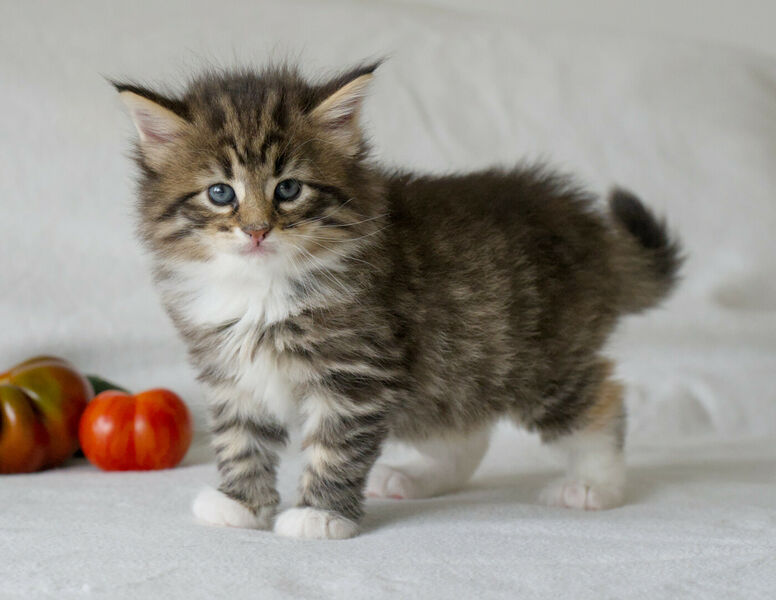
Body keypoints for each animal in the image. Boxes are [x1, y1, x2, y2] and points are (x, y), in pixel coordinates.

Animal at [113, 61, 680, 540]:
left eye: (289, 189)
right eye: (220, 193)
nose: (256, 231)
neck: (262, 287)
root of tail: (589, 228)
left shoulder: (355, 372)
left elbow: (334, 449)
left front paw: (319, 515)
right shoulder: (232, 370)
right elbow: (240, 439)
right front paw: (239, 505)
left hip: (538, 360)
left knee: (602, 398)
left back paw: (594, 484)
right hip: (452, 368)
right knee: (465, 430)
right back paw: (417, 478)